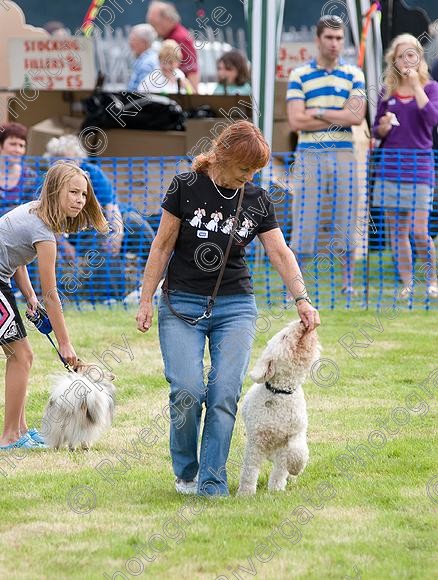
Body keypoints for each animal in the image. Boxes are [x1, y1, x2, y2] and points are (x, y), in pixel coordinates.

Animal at [238, 320, 320, 496]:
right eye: (284, 336)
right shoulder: (256, 442)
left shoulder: (294, 434)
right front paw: (245, 493)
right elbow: (249, 470)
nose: (302, 321)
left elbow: (296, 454)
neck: (282, 392)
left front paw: (280, 485)